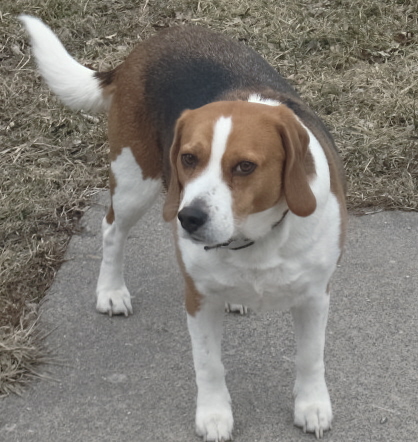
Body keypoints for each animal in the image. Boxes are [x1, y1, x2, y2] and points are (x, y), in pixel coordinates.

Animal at [21, 15, 346, 440]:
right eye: (189, 158)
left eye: (245, 167)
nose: (189, 218)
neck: (253, 240)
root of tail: (146, 47)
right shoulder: (198, 298)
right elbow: (208, 364)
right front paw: (214, 415)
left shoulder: (314, 296)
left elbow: (310, 357)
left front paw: (312, 406)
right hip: (134, 180)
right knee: (111, 230)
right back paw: (111, 291)